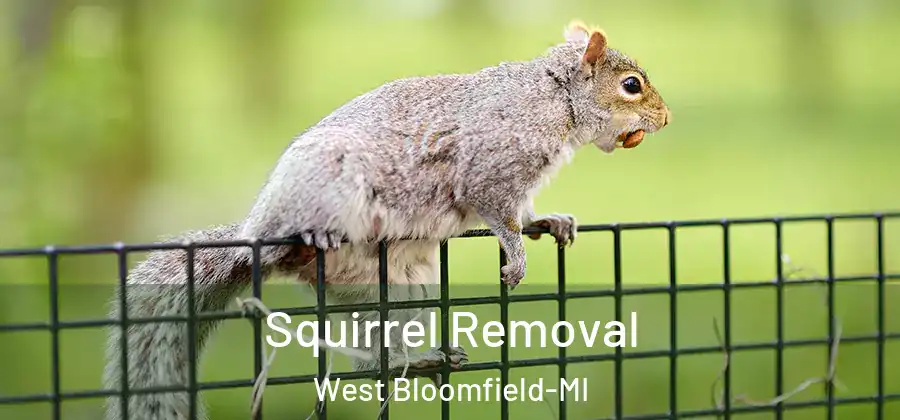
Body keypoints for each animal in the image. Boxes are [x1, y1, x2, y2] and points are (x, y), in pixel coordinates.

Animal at [102, 20, 670, 420]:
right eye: (631, 85)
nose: (665, 120)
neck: (554, 98)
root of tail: (252, 237)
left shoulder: (519, 183)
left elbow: (524, 212)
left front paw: (549, 222)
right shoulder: (489, 168)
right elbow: (498, 215)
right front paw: (516, 257)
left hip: (398, 289)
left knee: (372, 357)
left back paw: (415, 360)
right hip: (326, 186)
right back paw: (309, 238)